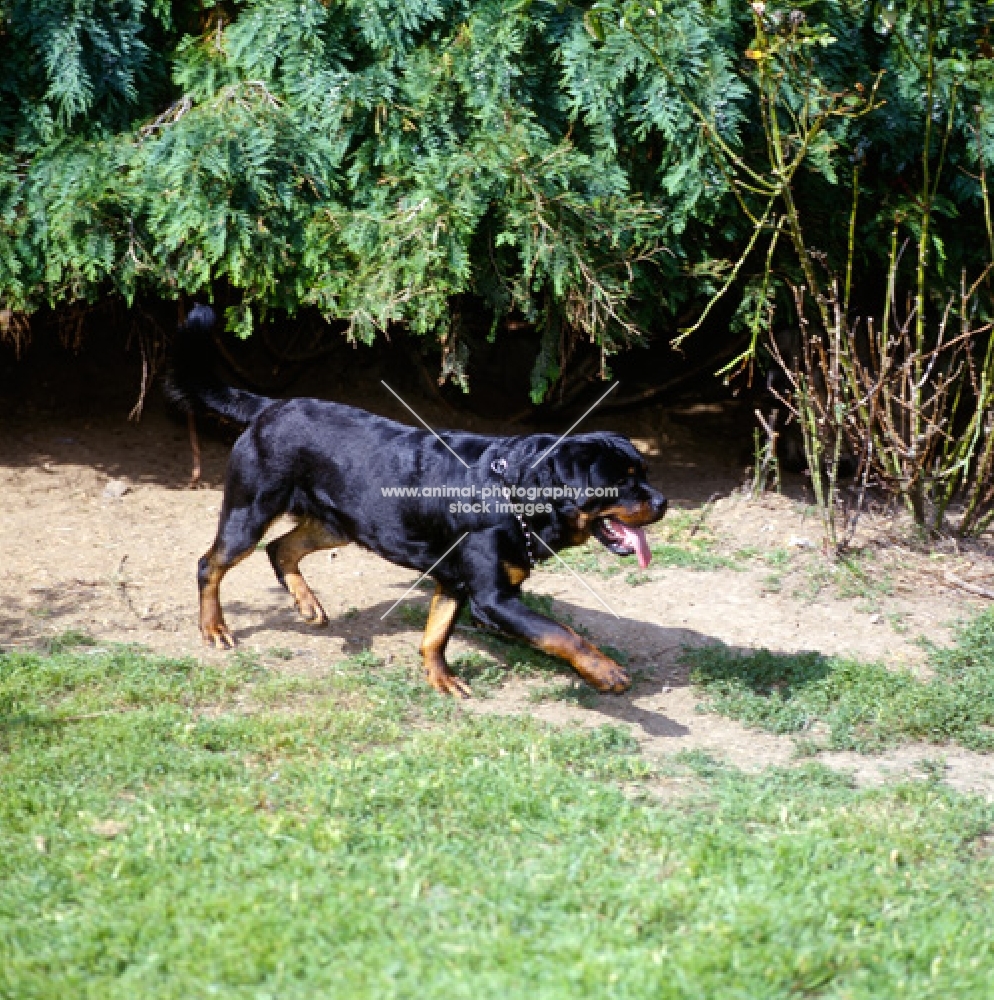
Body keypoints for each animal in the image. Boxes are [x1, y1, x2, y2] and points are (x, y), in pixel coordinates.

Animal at [167, 304, 668, 696]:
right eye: (621, 482)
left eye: (643, 473)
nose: (663, 502)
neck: (519, 493)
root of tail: (268, 406)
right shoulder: (494, 598)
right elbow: (563, 635)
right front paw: (606, 672)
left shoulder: (454, 581)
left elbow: (436, 634)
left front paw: (440, 677)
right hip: (249, 512)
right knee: (211, 564)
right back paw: (214, 628)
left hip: (337, 524)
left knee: (281, 548)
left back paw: (307, 604)